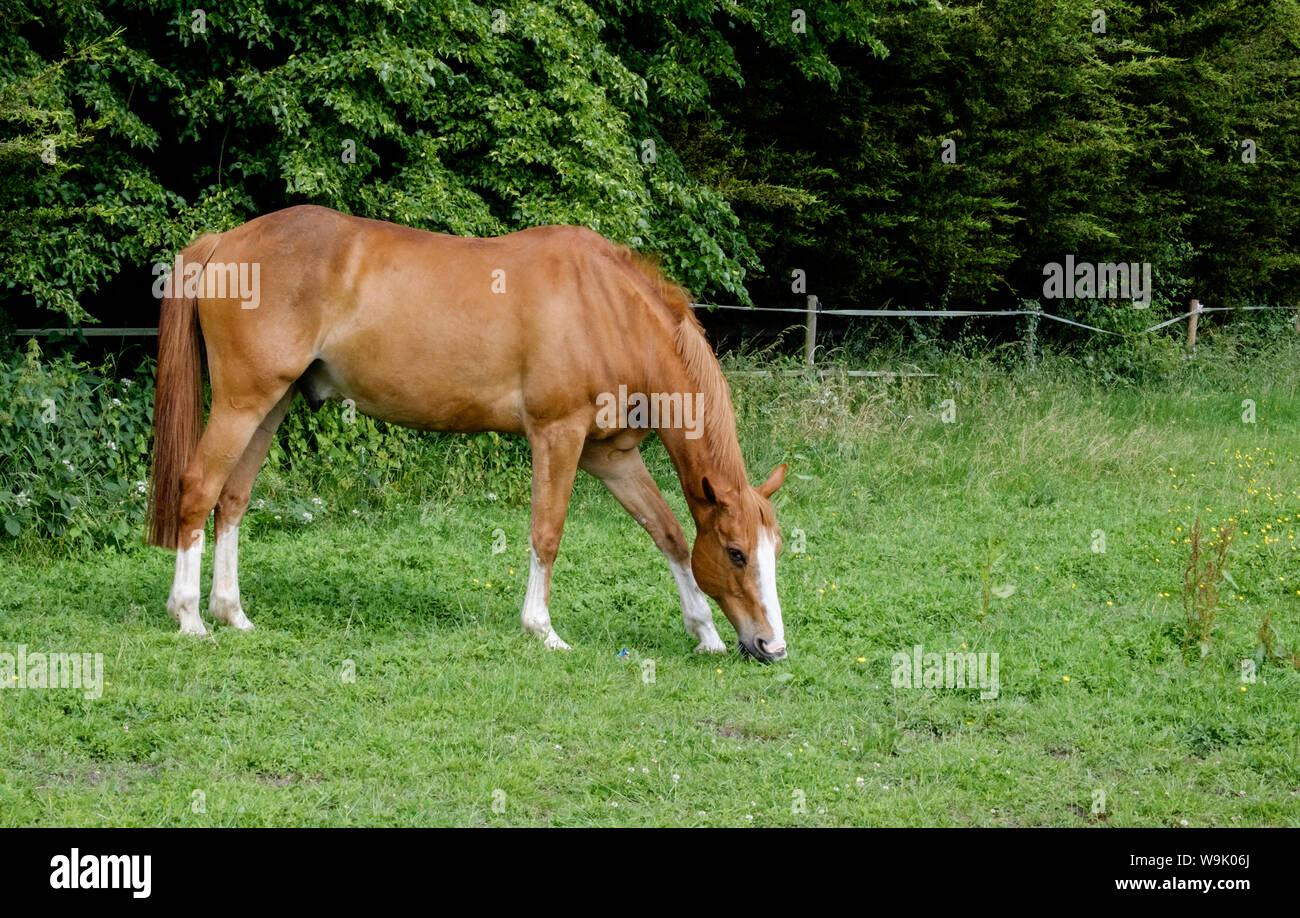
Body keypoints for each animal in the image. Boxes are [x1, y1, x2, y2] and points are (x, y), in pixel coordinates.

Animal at [146, 204, 785, 657]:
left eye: (772, 549)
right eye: (735, 553)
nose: (771, 647)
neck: (606, 307)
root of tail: (224, 240)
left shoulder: (611, 456)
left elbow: (669, 533)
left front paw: (705, 633)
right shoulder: (558, 437)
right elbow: (547, 534)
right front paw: (542, 630)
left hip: (270, 404)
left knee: (232, 498)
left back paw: (232, 613)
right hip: (241, 403)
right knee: (198, 488)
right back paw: (190, 617)